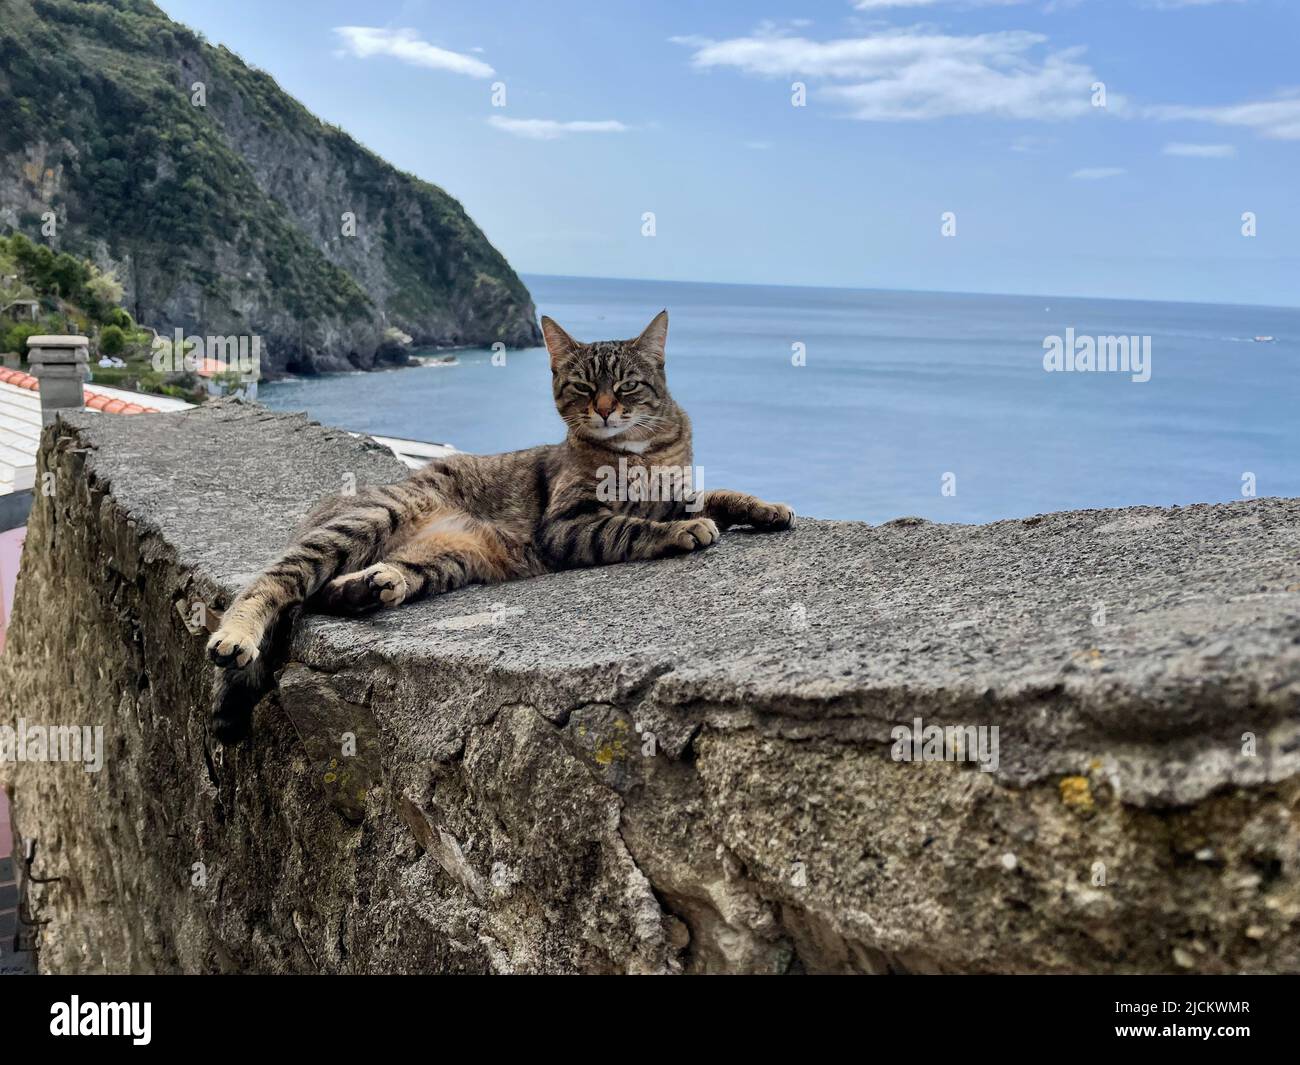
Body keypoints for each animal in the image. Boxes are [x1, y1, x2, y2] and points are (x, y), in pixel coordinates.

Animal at [206, 308, 790, 743]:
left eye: (626, 386)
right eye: (582, 387)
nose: (604, 410)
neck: (640, 453)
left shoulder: (674, 490)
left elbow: (712, 496)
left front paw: (761, 507)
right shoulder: (567, 524)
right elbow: (631, 525)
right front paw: (680, 533)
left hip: (449, 558)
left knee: (335, 590)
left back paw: (370, 587)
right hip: (372, 519)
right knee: (276, 581)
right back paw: (237, 634)